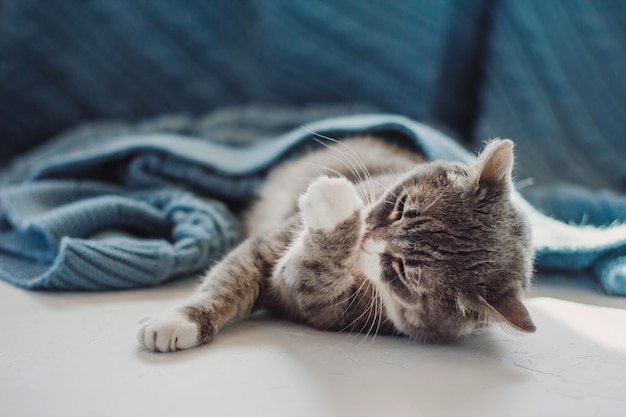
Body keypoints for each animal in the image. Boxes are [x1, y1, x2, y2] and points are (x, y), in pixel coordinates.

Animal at [139, 135, 532, 350]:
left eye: (404, 271)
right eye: (403, 208)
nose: (365, 238)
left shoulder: (319, 304)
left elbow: (304, 274)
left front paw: (336, 211)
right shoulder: (270, 242)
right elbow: (225, 284)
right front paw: (179, 320)